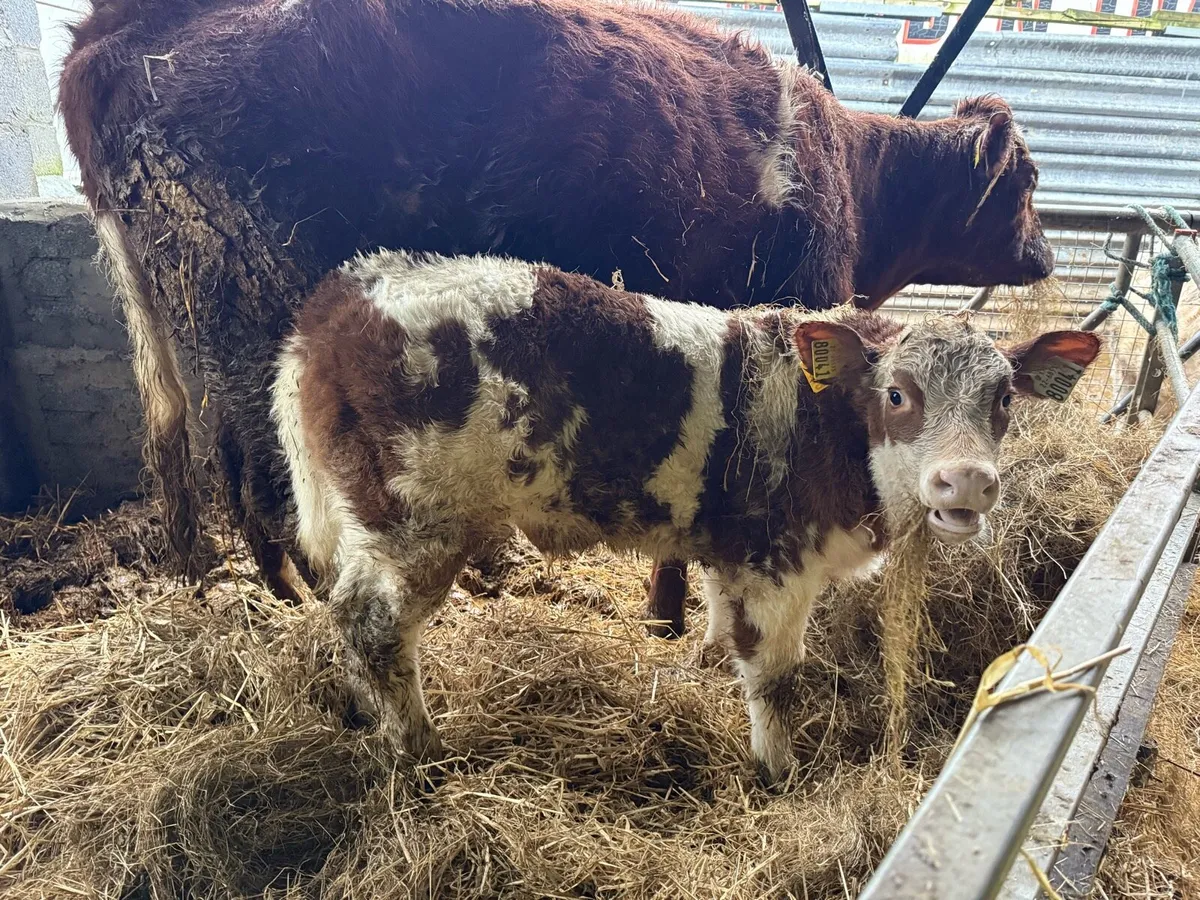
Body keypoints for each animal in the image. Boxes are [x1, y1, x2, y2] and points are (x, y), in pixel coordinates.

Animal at [60, 0, 1054, 610]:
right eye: (1028, 184)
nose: (1045, 255)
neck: (848, 171)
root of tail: (115, 29)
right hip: (248, 314)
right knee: (266, 484)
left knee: (209, 475)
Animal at [271, 250, 1099, 781]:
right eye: (897, 394)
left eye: (1004, 398)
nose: (967, 482)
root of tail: (345, 294)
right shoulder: (778, 563)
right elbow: (774, 673)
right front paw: (780, 769)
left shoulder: (734, 553)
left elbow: (721, 622)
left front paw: (704, 664)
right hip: (417, 526)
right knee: (372, 625)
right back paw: (419, 747)